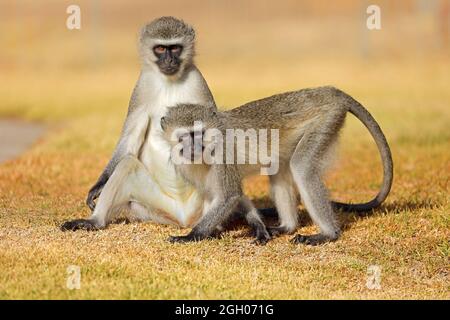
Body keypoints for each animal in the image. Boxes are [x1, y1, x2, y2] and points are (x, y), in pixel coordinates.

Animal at [61, 16, 220, 230]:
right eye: (160, 48)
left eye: (175, 48)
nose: (169, 60)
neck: (170, 81)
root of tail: (185, 219)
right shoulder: (142, 86)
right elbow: (130, 139)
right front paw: (99, 185)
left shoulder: (198, 82)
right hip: (158, 208)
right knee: (127, 164)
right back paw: (95, 221)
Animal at [160, 85, 392, 245]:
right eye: (184, 137)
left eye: (198, 134)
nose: (194, 147)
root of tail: (327, 90)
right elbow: (219, 195)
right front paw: (250, 226)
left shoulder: (224, 155)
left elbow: (229, 196)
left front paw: (192, 235)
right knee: (279, 171)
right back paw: (287, 227)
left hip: (325, 120)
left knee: (302, 167)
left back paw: (328, 234)